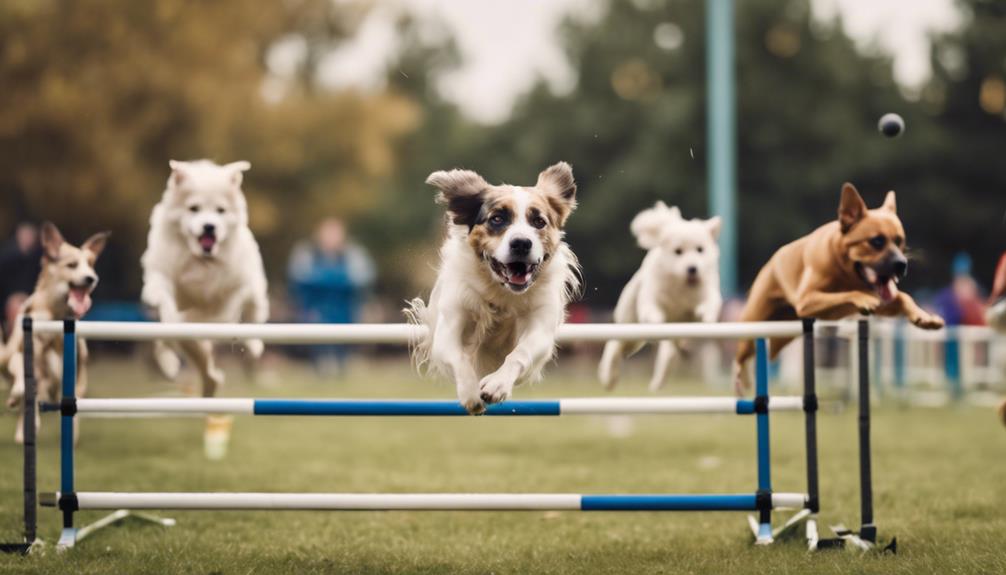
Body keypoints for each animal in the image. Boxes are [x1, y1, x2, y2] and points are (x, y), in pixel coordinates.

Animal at [1, 222, 109, 442]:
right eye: (72, 265)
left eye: (90, 264)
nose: (91, 278)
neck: (55, 314)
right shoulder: (18, 355)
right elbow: (22, 385)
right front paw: (16, 401)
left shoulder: (71, 369)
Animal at [139, 159, 271, 398]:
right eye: (194, 208)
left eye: (221, 210)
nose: (209, 226)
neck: (202, 260)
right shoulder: (163, 272)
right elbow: (164, 299)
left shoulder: (236, 287)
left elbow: (232, 304)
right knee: (188, 353)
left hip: (254, 295)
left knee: (252, 318)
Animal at [406, 161, 583, 414]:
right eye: (497, 219)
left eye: (539, 222)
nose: (521, 243)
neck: (501, 290)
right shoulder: (450, 322)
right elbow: (458, 357)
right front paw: (471, 392)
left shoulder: (541, 323)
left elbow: (521, 352)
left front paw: (497, 385)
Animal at [595, 202, 724, 390]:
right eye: (678, 251)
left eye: (700, 249)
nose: (692, 268)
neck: (680, 286)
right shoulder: (650, 300)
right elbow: (653, 312)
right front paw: (657, 320)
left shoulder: (707, 292)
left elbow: (710, 304)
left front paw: (707, 316)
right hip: (631, 325)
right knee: (615, 345)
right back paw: (609, 378)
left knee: (669, 353)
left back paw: (659, 380)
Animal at [732, 181, 941, 394]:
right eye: (876, 241)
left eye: (899, 241)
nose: (901, 264)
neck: (847, 271)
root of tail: (772, 261)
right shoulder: (807, 300)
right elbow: (846, 294)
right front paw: (863, 298)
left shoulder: (883, 300)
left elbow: (904, 297)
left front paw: (924, 317)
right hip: (753, 321)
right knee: (741, 356)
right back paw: (743, 381)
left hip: (784, 332)